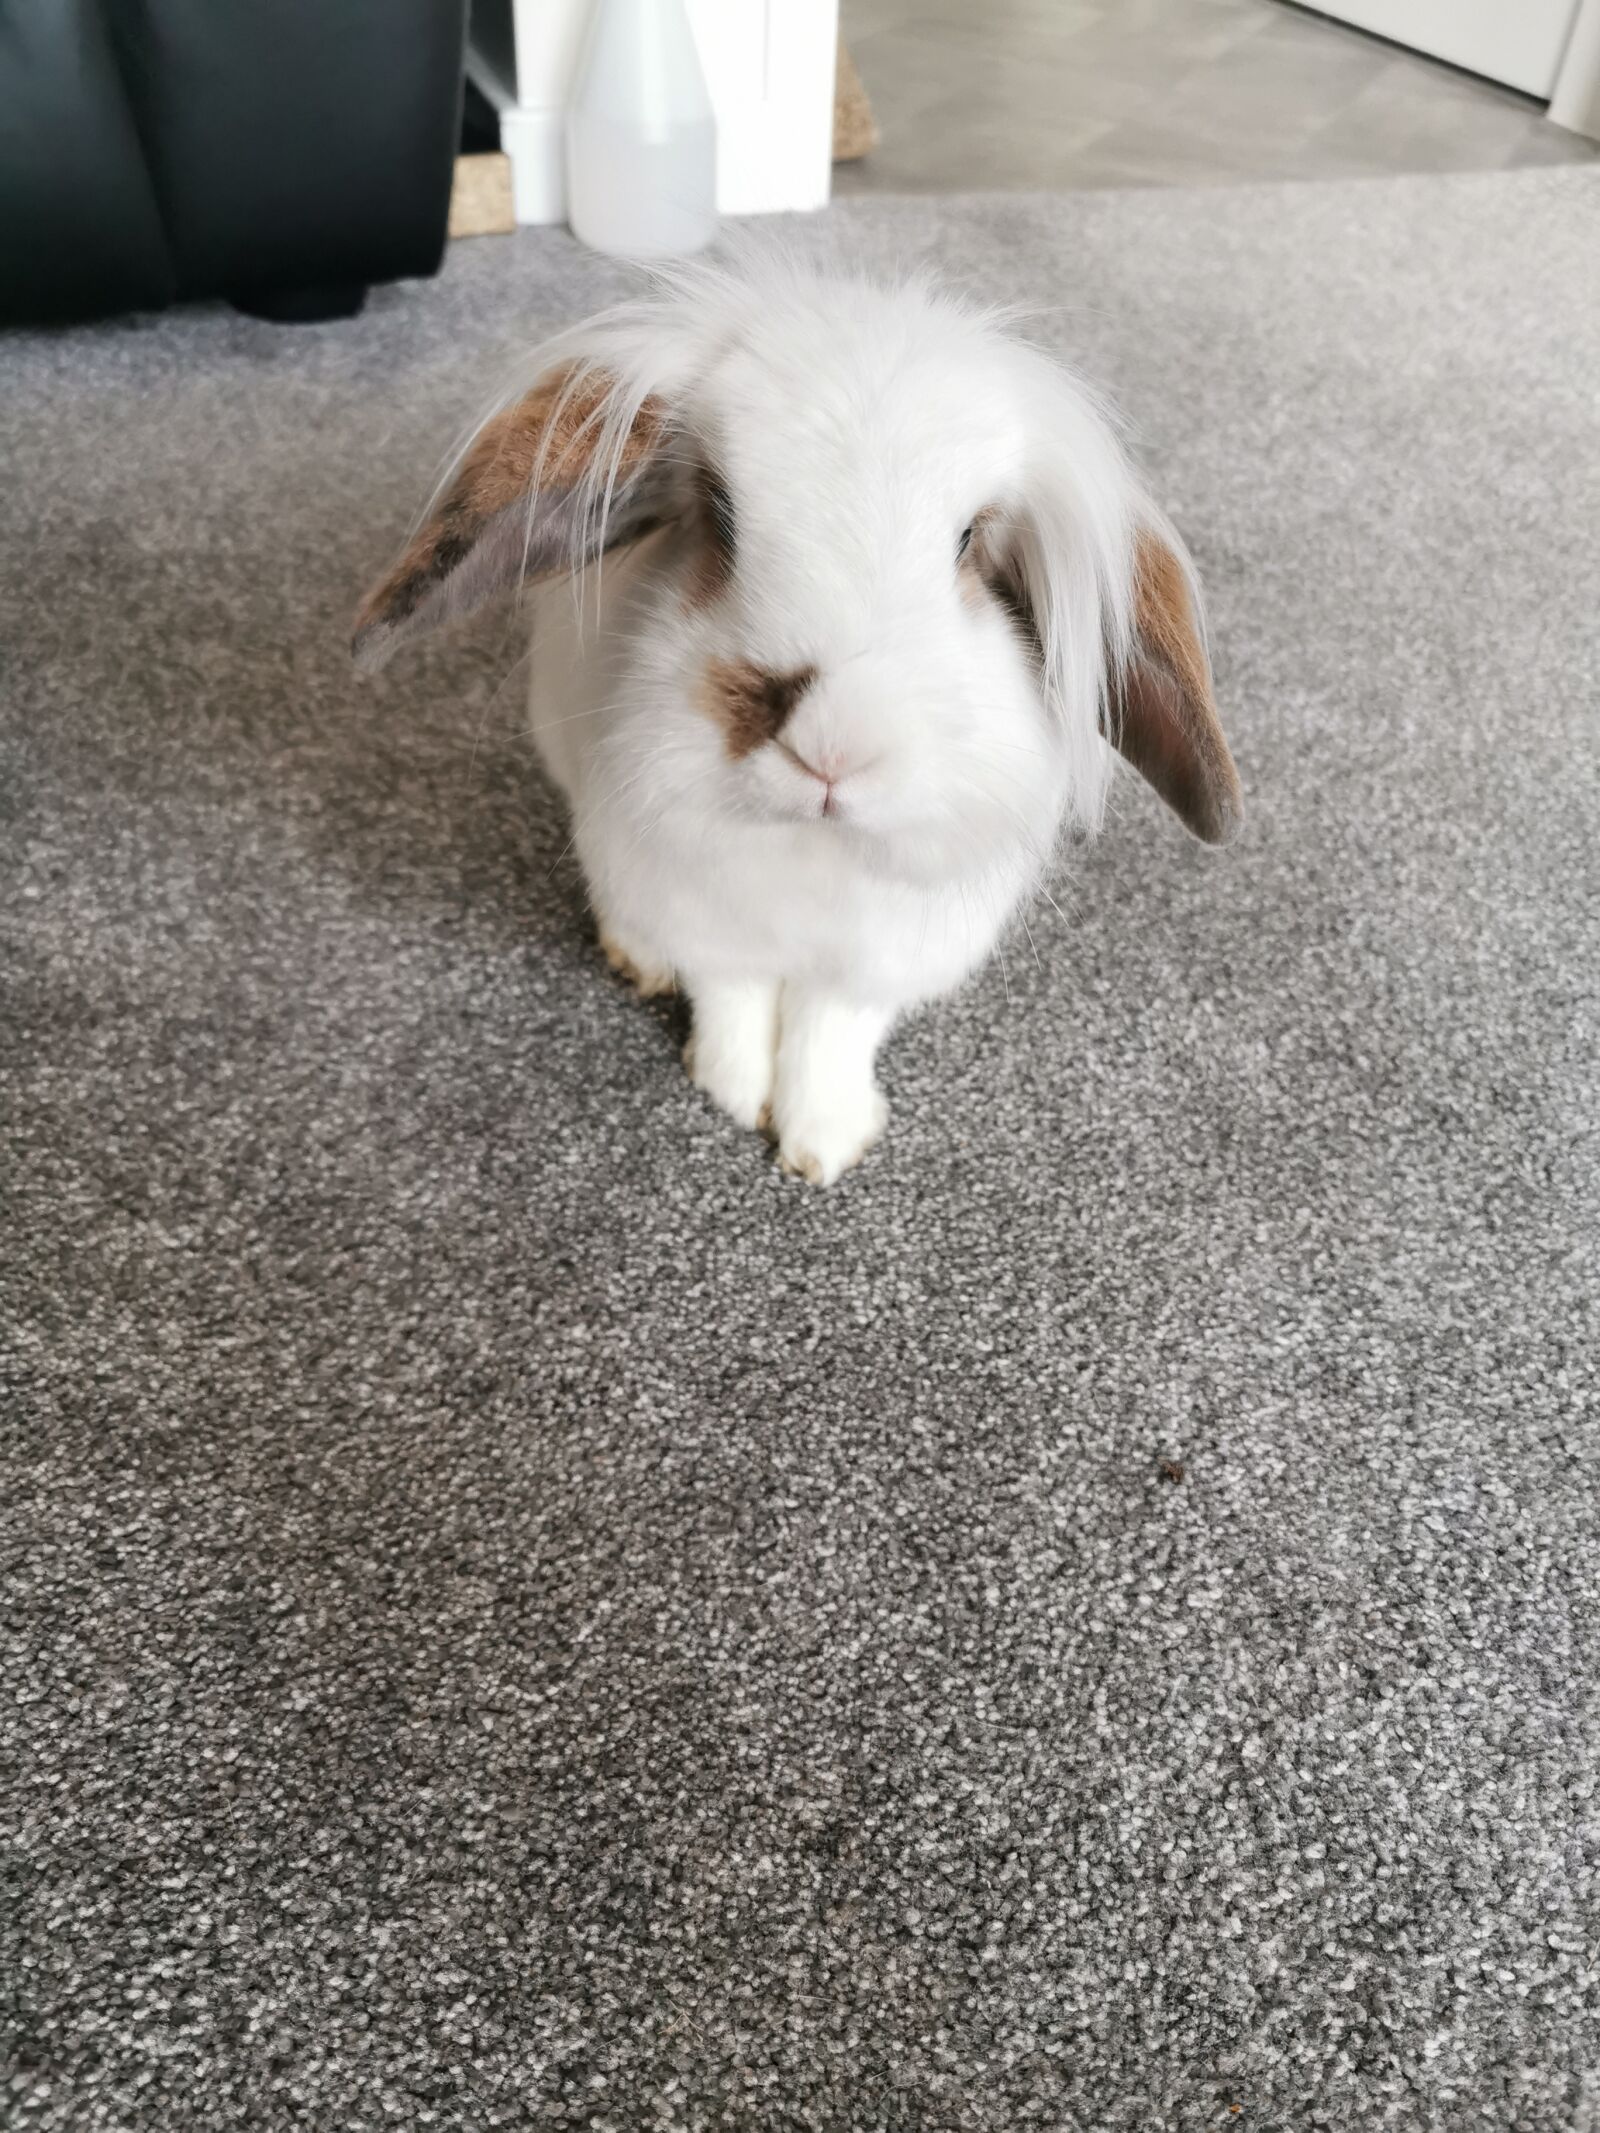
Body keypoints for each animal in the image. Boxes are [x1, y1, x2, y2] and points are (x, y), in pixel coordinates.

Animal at [353, 259, 1241, 1184]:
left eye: (967, 541)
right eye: (720, 513)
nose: (833, 748)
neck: (812, 850)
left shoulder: (879, 954)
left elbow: (831, 1028)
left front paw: (824, 1142)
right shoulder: (699, 910)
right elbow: (731, 997)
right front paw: (734, 1091)